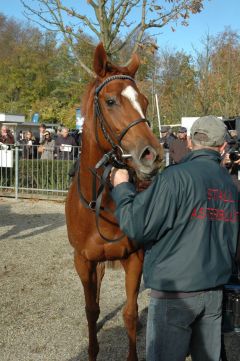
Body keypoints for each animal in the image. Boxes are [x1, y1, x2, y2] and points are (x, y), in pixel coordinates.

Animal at [65, 43, 162, 358]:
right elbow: (91, 309)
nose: (152, 154)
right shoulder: (83, 261)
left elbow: (130, 314)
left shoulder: (135, 257)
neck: (102, 204)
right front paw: (92, 346)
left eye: (144, 101)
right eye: (110, 101)